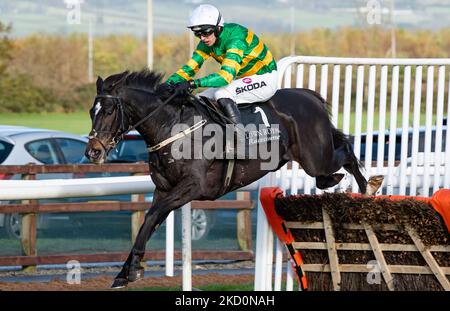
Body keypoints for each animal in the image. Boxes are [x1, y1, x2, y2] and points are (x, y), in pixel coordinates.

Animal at [85, 69, 384, 288]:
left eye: (109, 111)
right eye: (91, 111)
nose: (93, 151)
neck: (173, 128)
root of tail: (307, 96)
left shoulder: (192, 187)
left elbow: (150, 218)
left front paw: (132, 269)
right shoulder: (164, 190)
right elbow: (149, 222)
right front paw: (126, 272)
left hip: (315, 156)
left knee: (346, 150)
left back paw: (367, 188)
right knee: (335, 160)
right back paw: (336, 182)